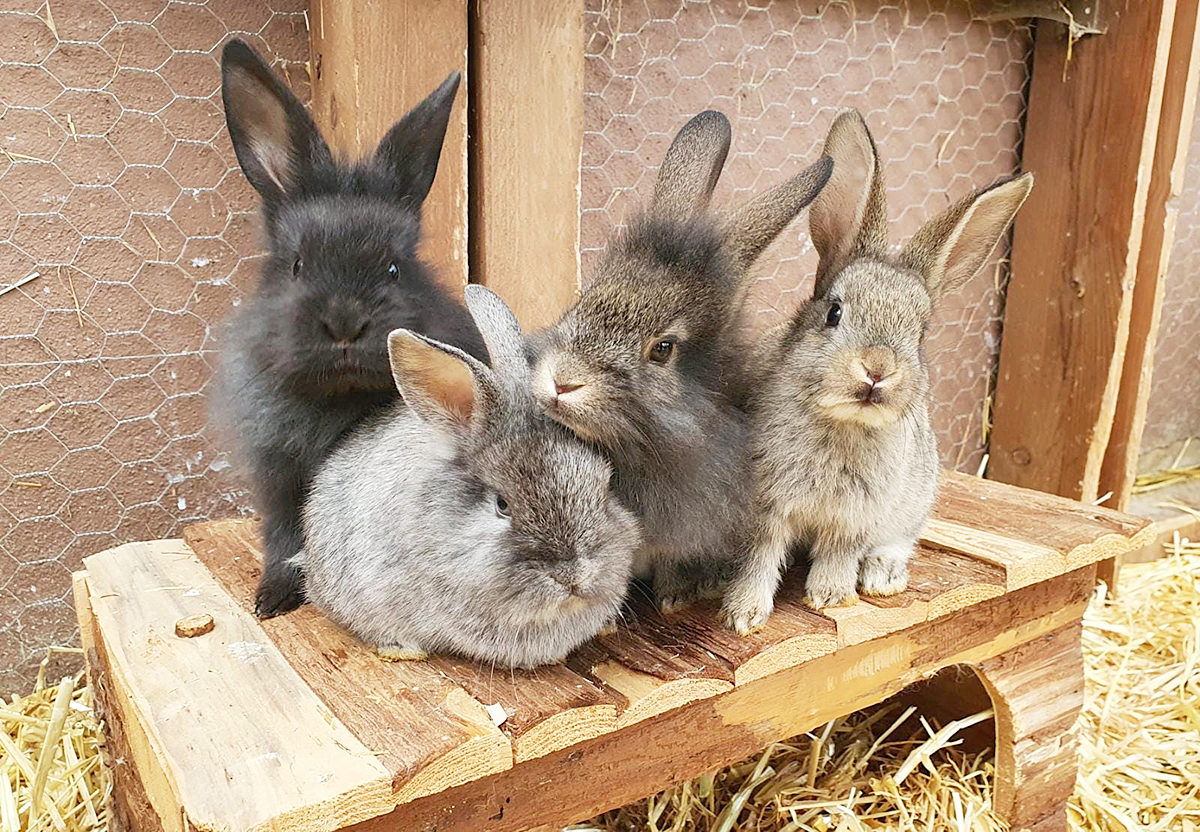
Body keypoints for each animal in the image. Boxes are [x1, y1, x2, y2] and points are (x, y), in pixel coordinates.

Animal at [213, 42, 484, 619]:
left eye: (394, 268)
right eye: (296, 266)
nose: (344, 323)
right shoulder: (279, 479)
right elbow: (283, 537)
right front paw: (271, 598)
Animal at [715, 108, 1036, 629]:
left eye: (921, 334)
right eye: (834, 312)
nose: (877, 371)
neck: (843, 424)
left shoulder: (855, 518)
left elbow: (838, 555)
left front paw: (830, 597)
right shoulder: (766, 509)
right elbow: (758, 560)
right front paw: (744, 616)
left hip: (913, 500)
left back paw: (883, 576)